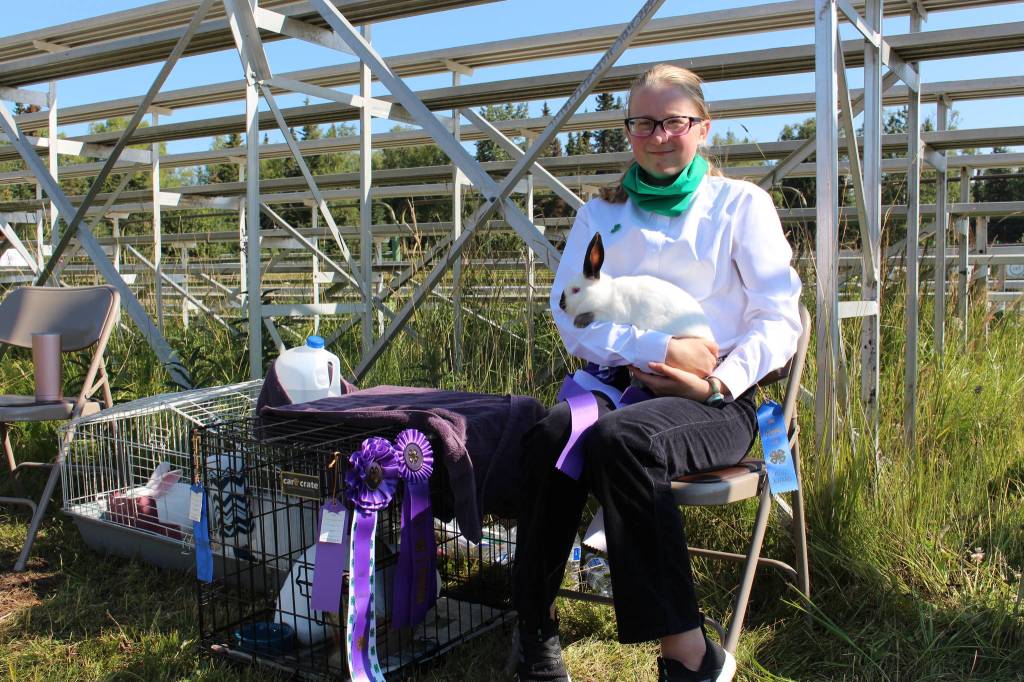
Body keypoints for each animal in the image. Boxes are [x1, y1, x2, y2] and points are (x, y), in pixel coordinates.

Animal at [558, 232, 715, 342]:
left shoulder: (611, 314)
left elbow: (593, 314)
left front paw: (578, 322)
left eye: (576, 290)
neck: (606, 294)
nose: (561, 305)